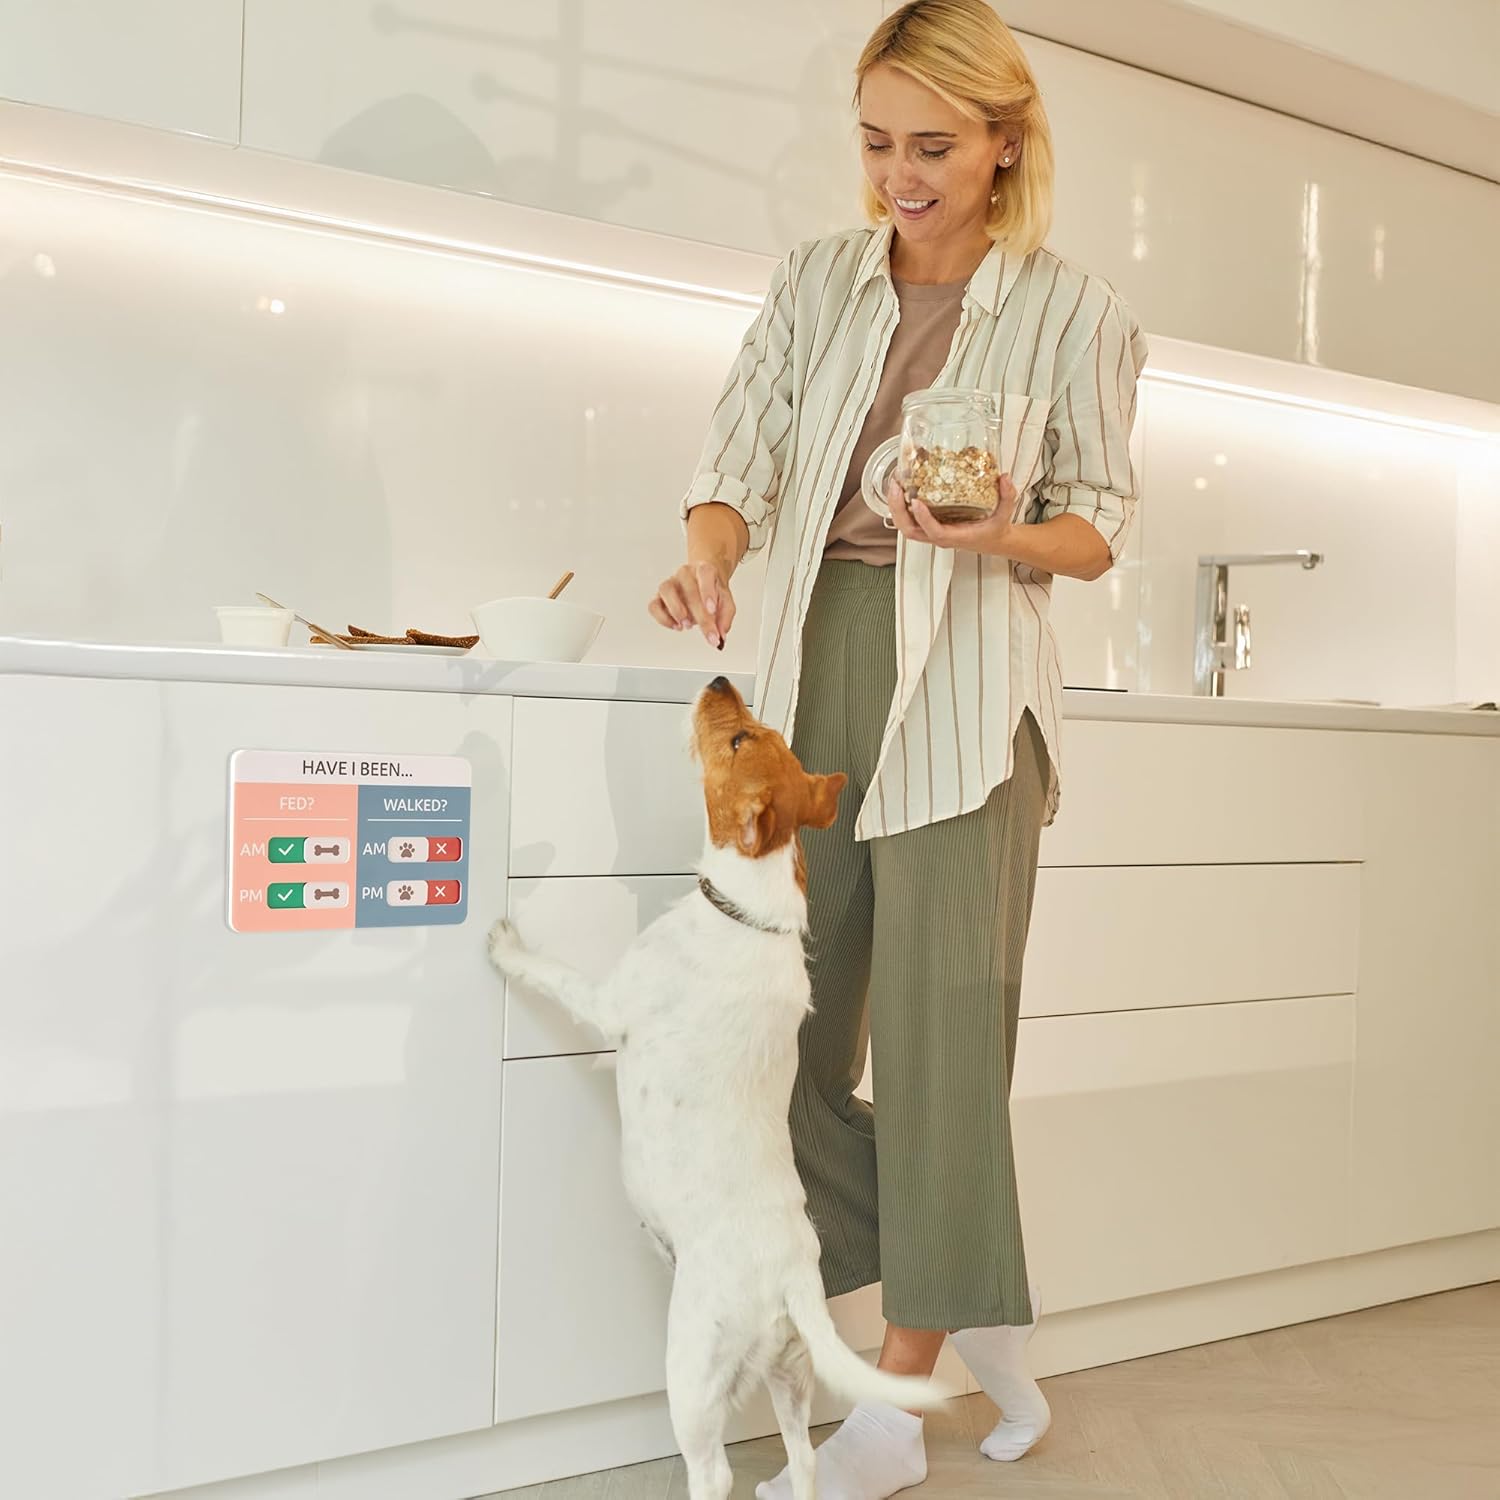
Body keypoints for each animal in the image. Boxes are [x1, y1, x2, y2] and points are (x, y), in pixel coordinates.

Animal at [488, 675, 943, 1500]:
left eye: (738, 740)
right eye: (760, 732)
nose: (720, 677)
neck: (751, 915)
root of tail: (793, 1279)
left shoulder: (608, 999)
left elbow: (553, 972)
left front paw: (507, 944)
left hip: (695, 1375)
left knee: (714, 1471)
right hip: (792, 1376)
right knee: (803, 1461)